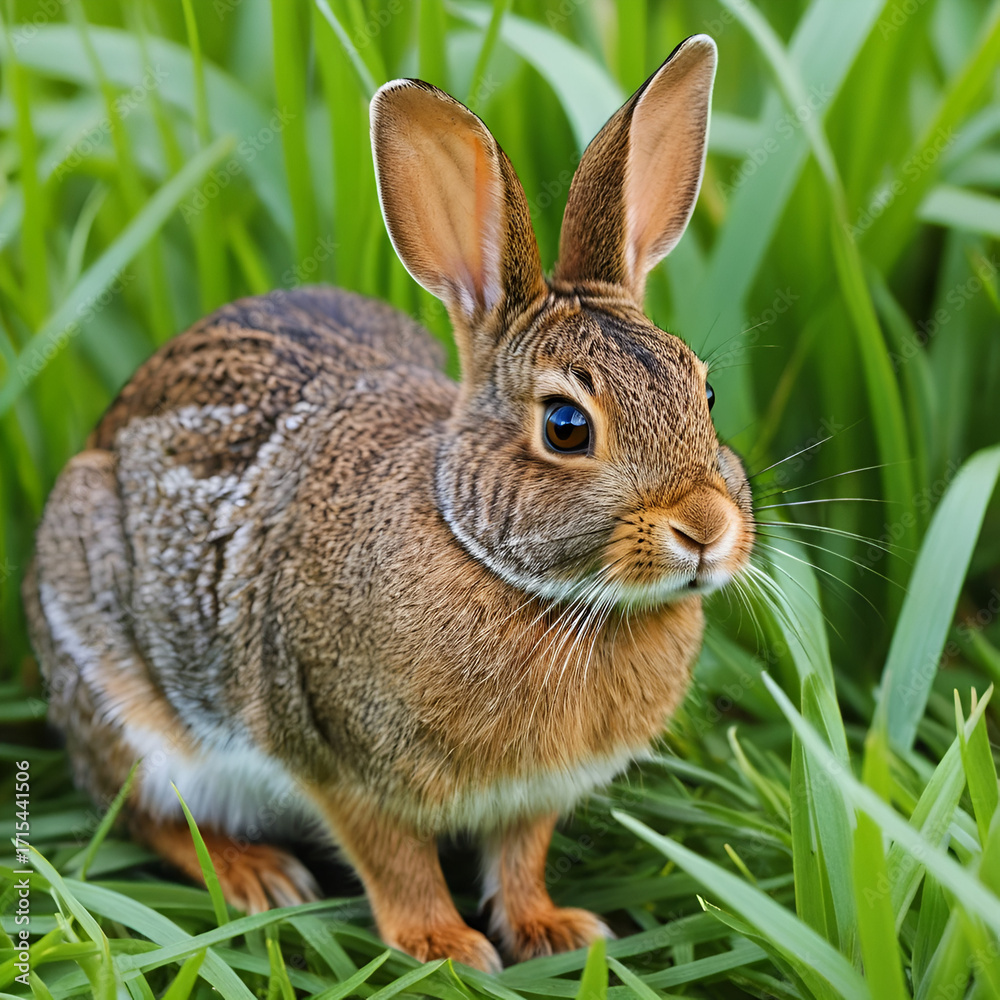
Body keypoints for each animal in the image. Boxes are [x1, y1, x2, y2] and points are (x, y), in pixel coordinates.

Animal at [24, 34, 754, 972]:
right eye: (565, 427)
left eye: (705, 393)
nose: (706, 531)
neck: (497, 564)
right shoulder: (344, 766)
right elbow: (394, 862)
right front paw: (444, 948)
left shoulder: (533, 796)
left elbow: (521, 856)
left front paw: (553, 929)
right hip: (122, 689)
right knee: (144, 808)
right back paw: (258, 876)